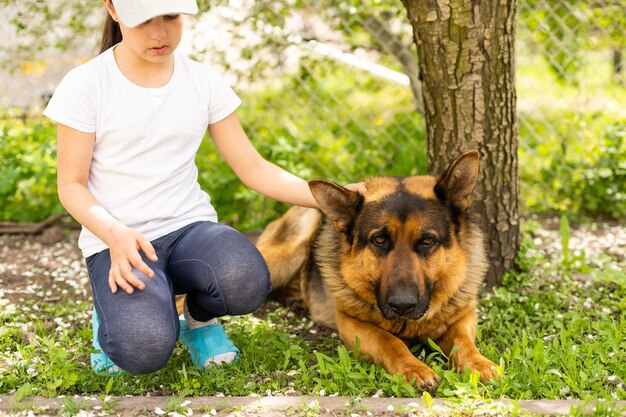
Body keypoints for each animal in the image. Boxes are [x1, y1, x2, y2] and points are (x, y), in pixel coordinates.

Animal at [254, 150, 498, 394]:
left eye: (427, 241)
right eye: (379, 240)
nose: (402, 305)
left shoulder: (464, 316)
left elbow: (463, 342)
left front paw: (479, 364)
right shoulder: (352, 324)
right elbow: (389, 341)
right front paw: (414, 368)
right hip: (289, 250)